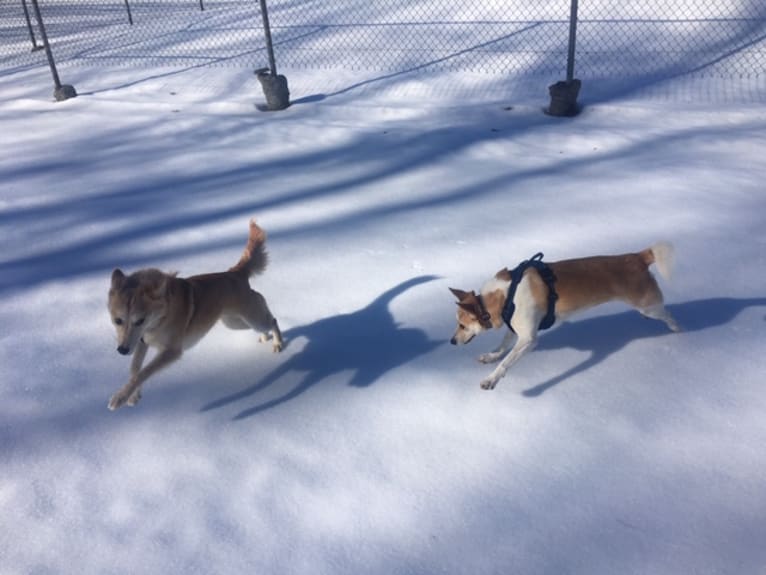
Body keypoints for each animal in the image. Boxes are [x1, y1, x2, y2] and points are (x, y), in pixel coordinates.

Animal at [106, 218, 284, 412]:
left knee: (272, 320)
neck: (161, 318)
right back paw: (265, 337)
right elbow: (135, 368)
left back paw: (278, 343)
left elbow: (145, 372)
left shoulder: (172, 351)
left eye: (140, 320)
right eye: (117, 321)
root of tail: (234, 273)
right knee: (263, 321)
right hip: (234, 322)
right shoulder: (141, 342)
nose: (122, 350)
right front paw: (134, 395)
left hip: (251, 317)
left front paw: (120, 397)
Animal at [452, 243, 680, 392]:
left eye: (462, 325)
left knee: (668, 314)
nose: (452, 341)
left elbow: (506, 362)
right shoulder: (515, 329)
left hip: (648, 306)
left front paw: (491, 379)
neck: (506, 296)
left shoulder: (528, 340)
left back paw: (677, 329)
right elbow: (501, 348)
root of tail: (638, 257)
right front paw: (490, 356)